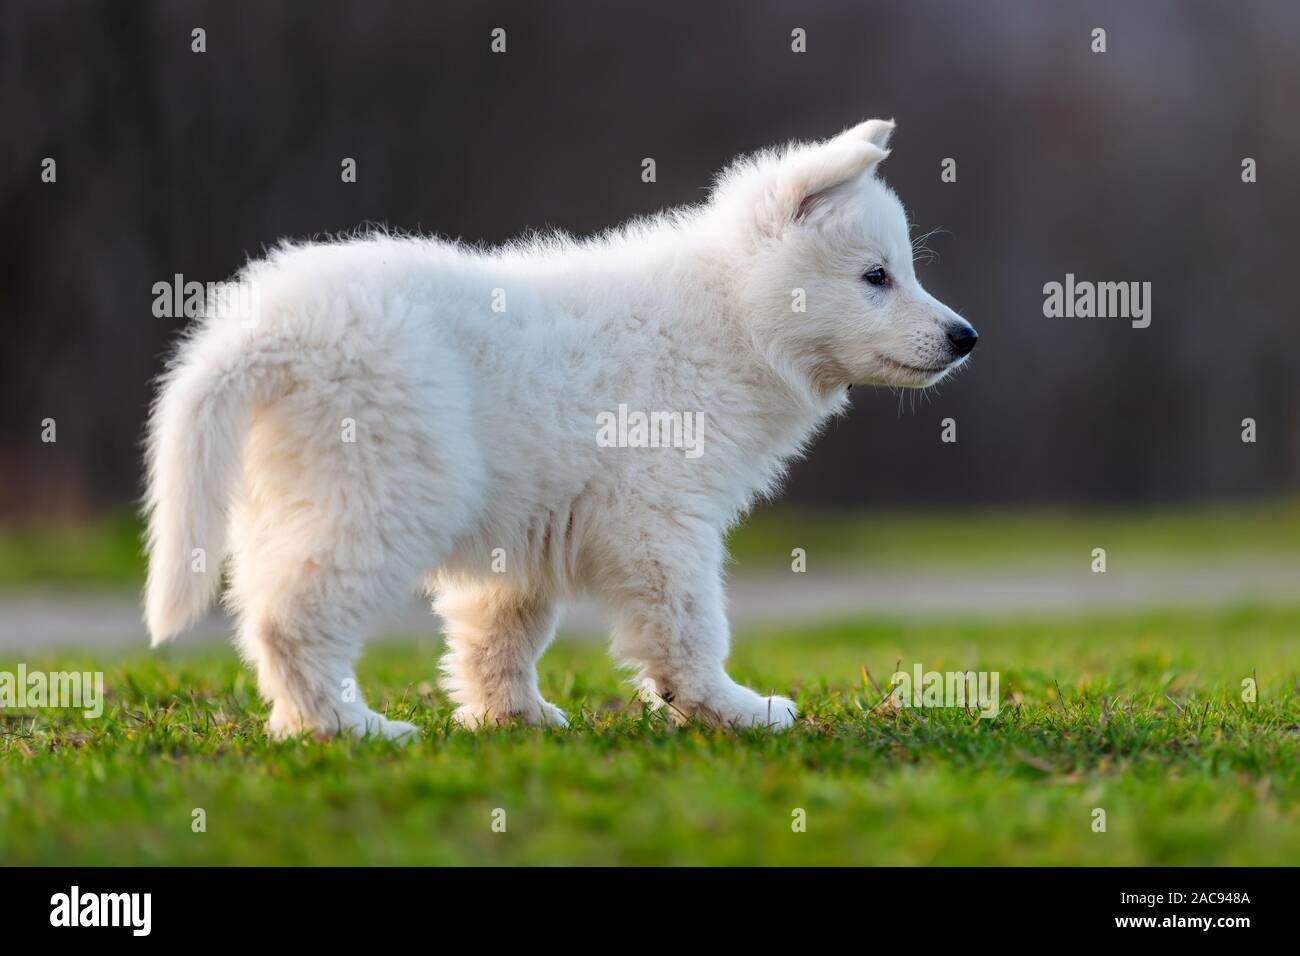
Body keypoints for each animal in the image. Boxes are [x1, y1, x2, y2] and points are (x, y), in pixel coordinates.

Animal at [142, 121, 977, 738]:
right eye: (876, 277)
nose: (965, 337)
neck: (730, 314)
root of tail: (269, 328)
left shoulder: (529, 530)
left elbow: (500, 632)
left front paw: (512, 717)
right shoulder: (662, 518)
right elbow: (691, 625)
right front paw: (730, 709)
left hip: (288, 495)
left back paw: (304, 723)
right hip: (387, 487)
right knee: (293, 617)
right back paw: (349, 728)